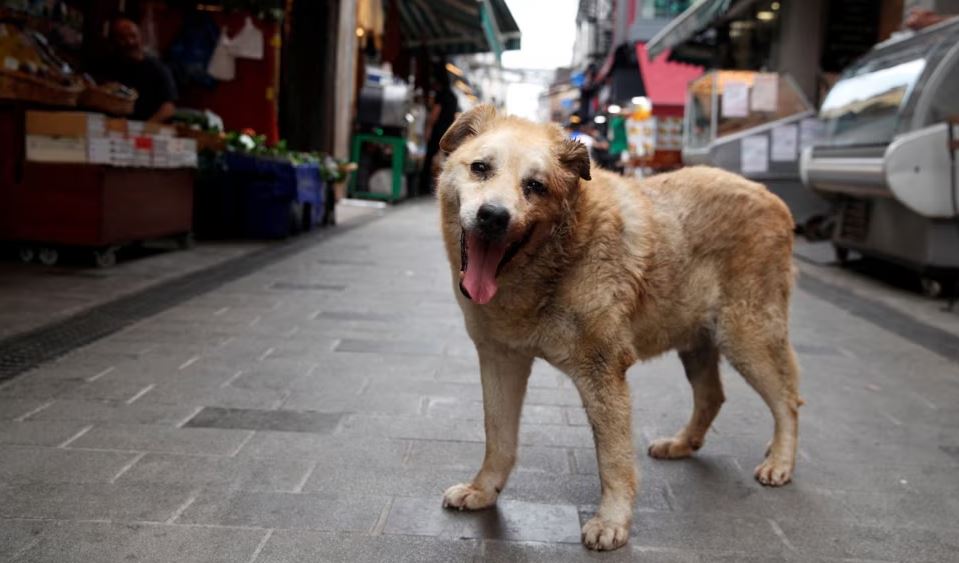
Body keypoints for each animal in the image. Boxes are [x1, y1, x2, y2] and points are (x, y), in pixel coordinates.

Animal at [436, 106, 804, 552]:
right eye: (480, 168)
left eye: (535, 186)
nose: (493, 217)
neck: (560, 256)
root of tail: (773, 198)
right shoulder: (501, 359)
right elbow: (498, 436)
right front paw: (483, 490)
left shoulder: (603, 371)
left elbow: (613, 458)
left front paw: (612, 522)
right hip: (697, 341)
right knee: (713, 396)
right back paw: (683, 444)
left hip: (746, 337)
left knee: (787, 400)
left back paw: (780, 461)